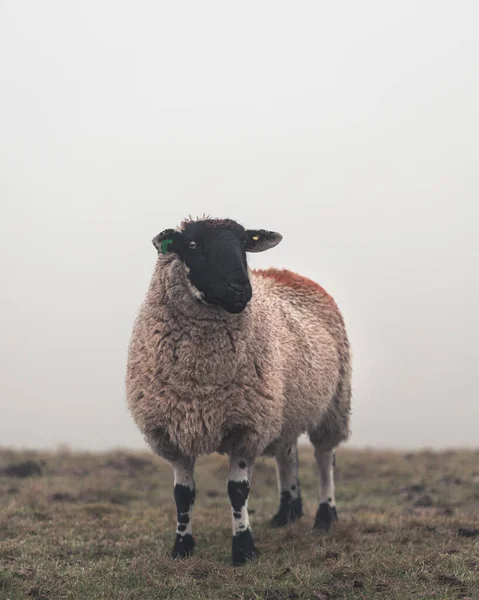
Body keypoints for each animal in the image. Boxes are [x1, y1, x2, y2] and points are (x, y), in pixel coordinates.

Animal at [126, 218, 352, 564]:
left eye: (244, 244)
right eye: (192, 244)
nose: (241, 289)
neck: (200, 378)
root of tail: (285, 271)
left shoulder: (247, 426)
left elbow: (237, 491)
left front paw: (244, 548)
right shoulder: (172, 430)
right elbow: (182, 495)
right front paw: (182, 546)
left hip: (334, 403)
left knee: (325, 458)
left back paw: (324, 517)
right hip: (283, 408)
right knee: (287, 455)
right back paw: (287, 513)